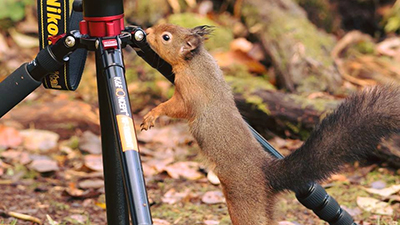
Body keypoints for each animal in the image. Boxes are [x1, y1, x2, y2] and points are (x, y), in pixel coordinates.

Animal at [140, 23, 400, 224]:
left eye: (166, 37)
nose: (147, 30)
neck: (196, 62)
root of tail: (266, 173)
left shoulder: (189, 92)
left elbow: (176, 108)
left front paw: (152, 114)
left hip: (244, 201)